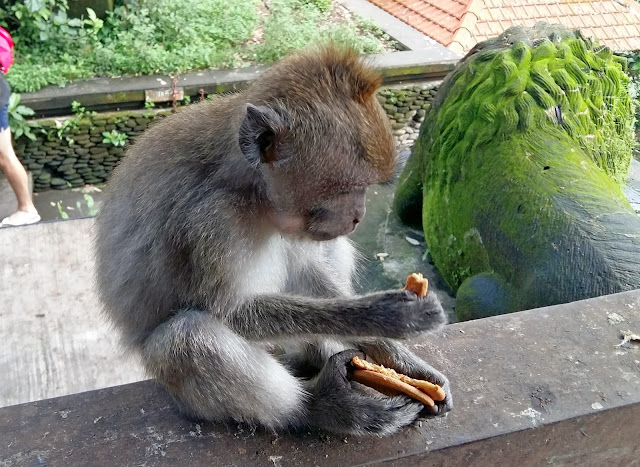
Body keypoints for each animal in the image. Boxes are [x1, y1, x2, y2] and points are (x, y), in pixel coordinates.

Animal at [95, 45, 452, 436]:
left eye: (364, 189)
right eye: (348, 189)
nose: (358, 215)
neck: (254, 195)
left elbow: (305, 272)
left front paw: (399, 359)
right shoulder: (209, 220)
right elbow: (230, 311)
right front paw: (382, 316)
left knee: (332, 247)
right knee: (185, 340)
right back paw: (321, 407)